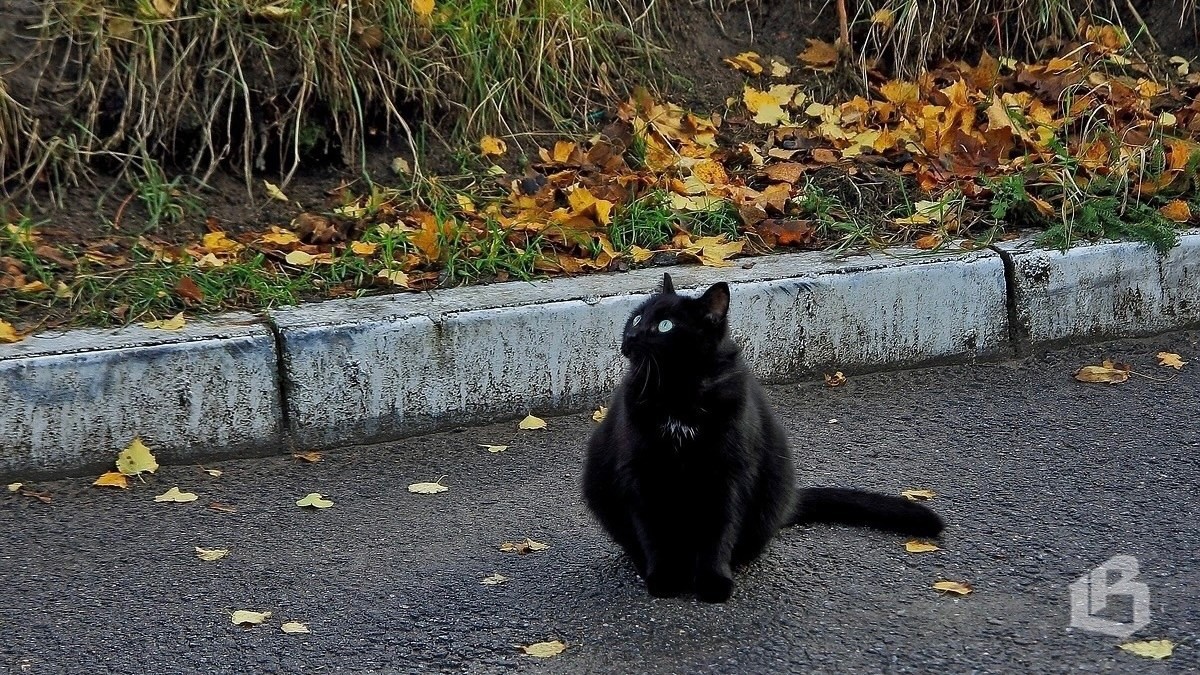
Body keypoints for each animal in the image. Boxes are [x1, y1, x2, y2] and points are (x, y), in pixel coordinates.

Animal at [583, 270, 945, 600]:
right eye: (637, 318)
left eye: (665, 326)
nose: (632, 336)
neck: (677, 393)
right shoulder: (640, 473)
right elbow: (653, 531)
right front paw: (664, 579)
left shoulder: (729, 474)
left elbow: (719, 531)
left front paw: (713, 581)